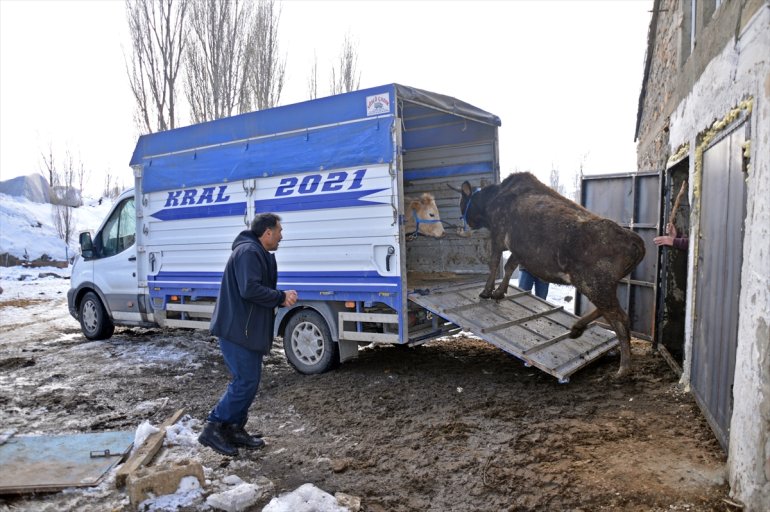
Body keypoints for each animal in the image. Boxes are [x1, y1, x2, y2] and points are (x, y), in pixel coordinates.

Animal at [452, 172, 644, 376]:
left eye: (462, 200)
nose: (466, 222)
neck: (490, 202)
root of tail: (636, 243)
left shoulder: (498, 235)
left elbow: (495, 263)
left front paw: (487, 291)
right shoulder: (520, 250)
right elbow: (510, 266)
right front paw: (499, 292)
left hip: (594, 284)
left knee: (620, 318)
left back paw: (624, 368)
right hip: (603, 285)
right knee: (609, 311)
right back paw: (577, 328)